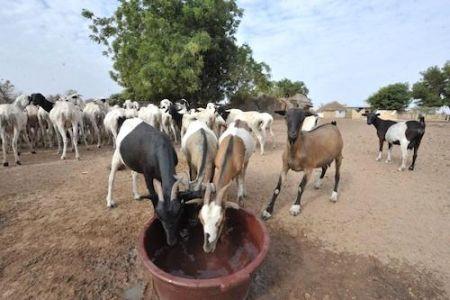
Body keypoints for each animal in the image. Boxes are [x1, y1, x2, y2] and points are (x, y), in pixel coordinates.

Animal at [188, 119, 255, 253]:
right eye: (201, 219)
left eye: (220, 222)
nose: (208, 248)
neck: (230, 154)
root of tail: (239, 120)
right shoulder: (217, 167)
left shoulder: (239, 170)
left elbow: (240, 182)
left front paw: (241, 199)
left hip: (247, 160)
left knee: (245, 172)